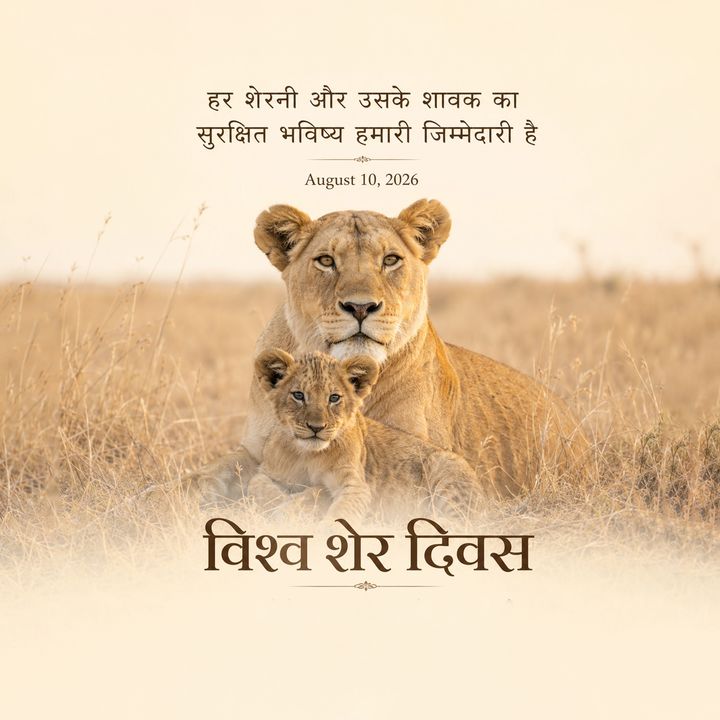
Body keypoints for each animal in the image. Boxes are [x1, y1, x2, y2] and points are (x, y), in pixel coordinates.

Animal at [193, 199, 587, 503]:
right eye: (326, 261)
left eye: (390, 260)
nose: (360, 307)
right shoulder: (257, 448)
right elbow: (212, 472)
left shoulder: (414, 454)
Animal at [247, 348, 482, 523]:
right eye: (298, 395)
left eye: (334, 398)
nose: (316, 427)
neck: (307, 455)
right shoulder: (267, 471)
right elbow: (257, 486)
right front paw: (284, 508)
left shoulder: (356, 486)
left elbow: (336, 510)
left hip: (446, 470)